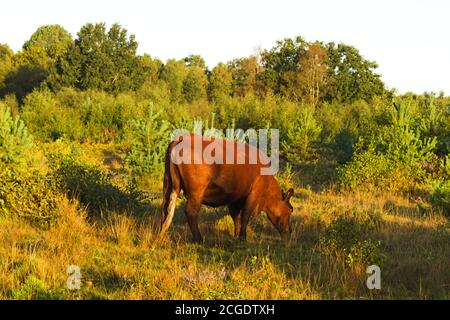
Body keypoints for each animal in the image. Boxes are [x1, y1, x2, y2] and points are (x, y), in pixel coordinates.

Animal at [160, 133, 294, 242]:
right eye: (290, 210)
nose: (289, 231)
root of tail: (181, 138)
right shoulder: (253, 194)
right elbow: (245, 216)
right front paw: (242, 238)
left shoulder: (234, 198)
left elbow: (236, 217)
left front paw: (236, 236)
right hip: (196, 192)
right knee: (191, 212)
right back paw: (198, 239)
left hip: (169, 185)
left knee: (166, 208)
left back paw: (161, 232)